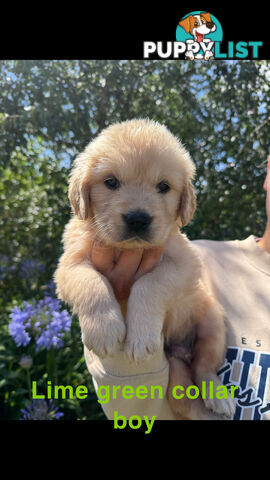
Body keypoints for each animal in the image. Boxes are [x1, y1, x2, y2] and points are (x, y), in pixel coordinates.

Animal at [53, 119, 235, 420]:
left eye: (164, 186)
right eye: (111, 182)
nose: (138, 219)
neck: (125, 248)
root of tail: (180, 349)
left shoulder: (185, 263)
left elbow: (148, 285)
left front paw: (140, 339)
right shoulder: (69, 264)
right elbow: (91, 282)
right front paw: (104, 330)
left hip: (212, 323)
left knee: (205, 367)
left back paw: (218, 397)